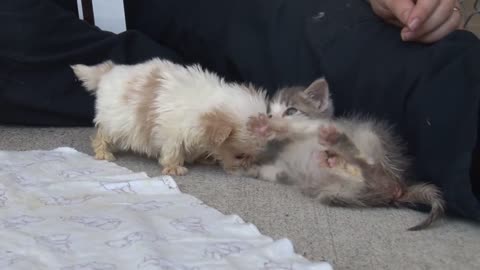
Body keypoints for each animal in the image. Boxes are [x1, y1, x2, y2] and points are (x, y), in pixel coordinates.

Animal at [73, 58, 272, 176]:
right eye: (239, 156)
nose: (246, 169)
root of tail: (108, 72)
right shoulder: (172, 132)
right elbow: (173, 151)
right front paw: (175, 167)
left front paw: (203, 157)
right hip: (114, 121)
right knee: (101, 136)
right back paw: (104, 153)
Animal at [246, 77, 444, 230]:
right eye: (271, 113)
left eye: (291, 110)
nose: (271, 119)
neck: (293, 143)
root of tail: (400, 186)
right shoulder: (289, 172)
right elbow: (275, 172)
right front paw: (254, 167)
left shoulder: (319, 127)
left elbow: (294, 127)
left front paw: (266, 127)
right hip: (337, 193)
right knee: (369, 177)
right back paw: (332, 161)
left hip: (369, 137)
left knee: (369, 163)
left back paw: (337, 143)